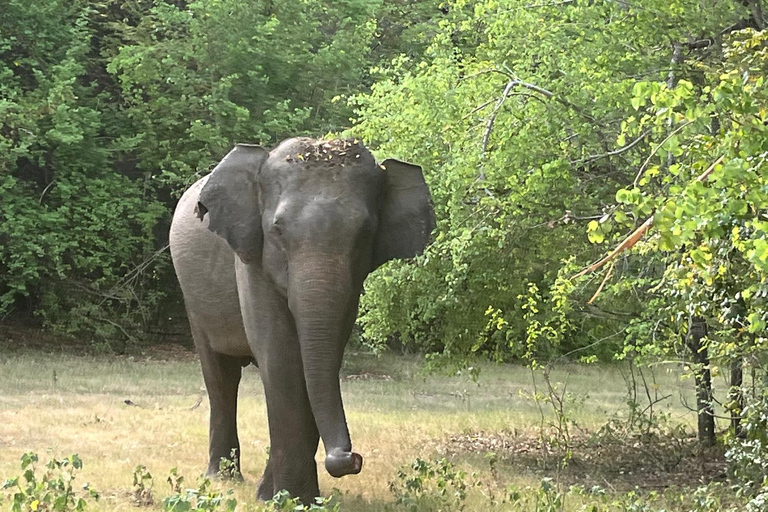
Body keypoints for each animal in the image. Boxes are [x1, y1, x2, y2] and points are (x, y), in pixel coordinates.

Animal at [167, 138, 432, 502]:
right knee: (221, 376)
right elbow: (282, 359)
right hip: (192, 296)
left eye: (366, 233)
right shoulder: (251, 259)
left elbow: (319, 358)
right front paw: (288, 499)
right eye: (277, 230)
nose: (350, 458)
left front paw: (284, 497)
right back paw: (223, 478)